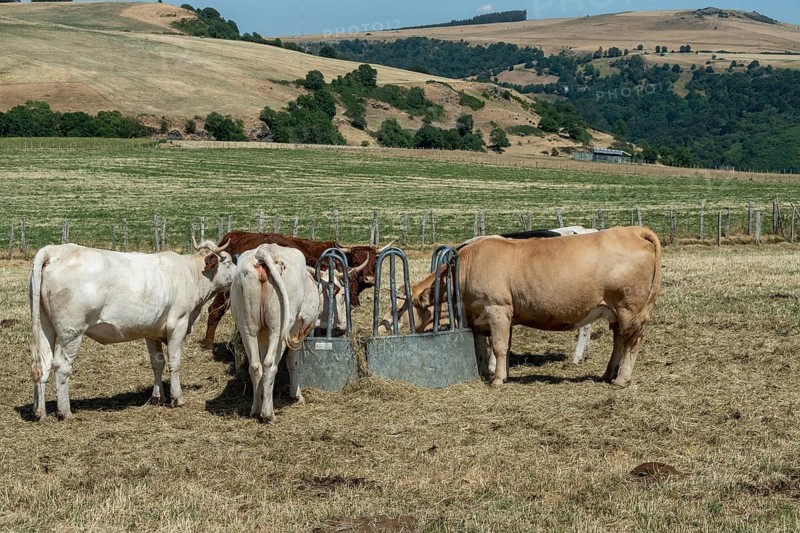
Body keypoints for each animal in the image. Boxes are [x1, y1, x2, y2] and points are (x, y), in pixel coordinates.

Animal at [29, 239, 235, 421]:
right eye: (228, 260)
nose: (236, 273)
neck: (191, 274)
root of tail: (54, 250)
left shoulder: (151, 331)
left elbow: (157, 363)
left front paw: (157, 397)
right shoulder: (178, 324)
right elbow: (174, 362)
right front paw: (177, 398)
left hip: (44, 326)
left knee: (43, 364)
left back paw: (40, 412)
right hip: (72, 332)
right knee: (62, 366)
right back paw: (65, 412)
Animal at [230, 243, 347, 423]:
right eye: (341, 295)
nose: (343, 326)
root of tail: (264, 251)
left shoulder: (263, 336)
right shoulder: (298, 331)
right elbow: (293, 362)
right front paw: (296, 395)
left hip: (247, 327)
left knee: (256, 366)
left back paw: (256, 409)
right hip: (279, 329)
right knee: (269, 364)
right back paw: (268, 413)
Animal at [379, 226, 661, 387]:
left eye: (399, 308)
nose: (383, 326)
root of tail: (632, 230)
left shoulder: (497, 308)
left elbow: (499, 346)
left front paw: (497, 380)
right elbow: (489, 346)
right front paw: (491, 372)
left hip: (630, 308)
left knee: (632, 342)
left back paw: (622, 379)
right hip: (617, 312)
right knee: (619, 339)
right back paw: (608, 374)